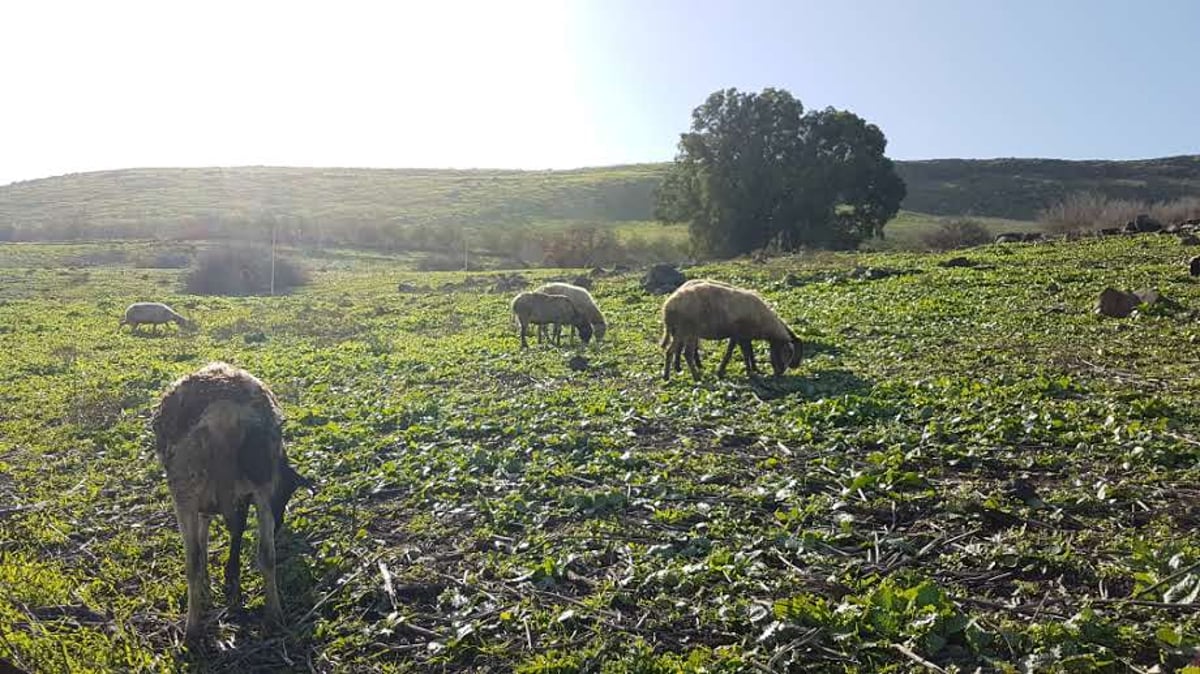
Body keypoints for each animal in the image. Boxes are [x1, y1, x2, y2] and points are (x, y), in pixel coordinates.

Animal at [150, 359, 312, 638]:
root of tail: (222, 416)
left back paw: (192, 628)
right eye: (287, 492)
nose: (280, 524)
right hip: (259, 481)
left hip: (184, 489)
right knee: (266, 554)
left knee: (192, 560)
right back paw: (273, 616)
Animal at [662, 279, 801, 383]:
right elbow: (735, 353)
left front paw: (753, 369)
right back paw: (696, 377)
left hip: (680, 332)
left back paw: (667, 376)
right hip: (688, 331)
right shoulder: (739, 335)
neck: (764, 323)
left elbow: (748, 352)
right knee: (686, 353)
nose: (780, 373)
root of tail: (667, 307)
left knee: (670, 351)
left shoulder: (743, 336)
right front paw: (744, 372)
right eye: (787, 354)